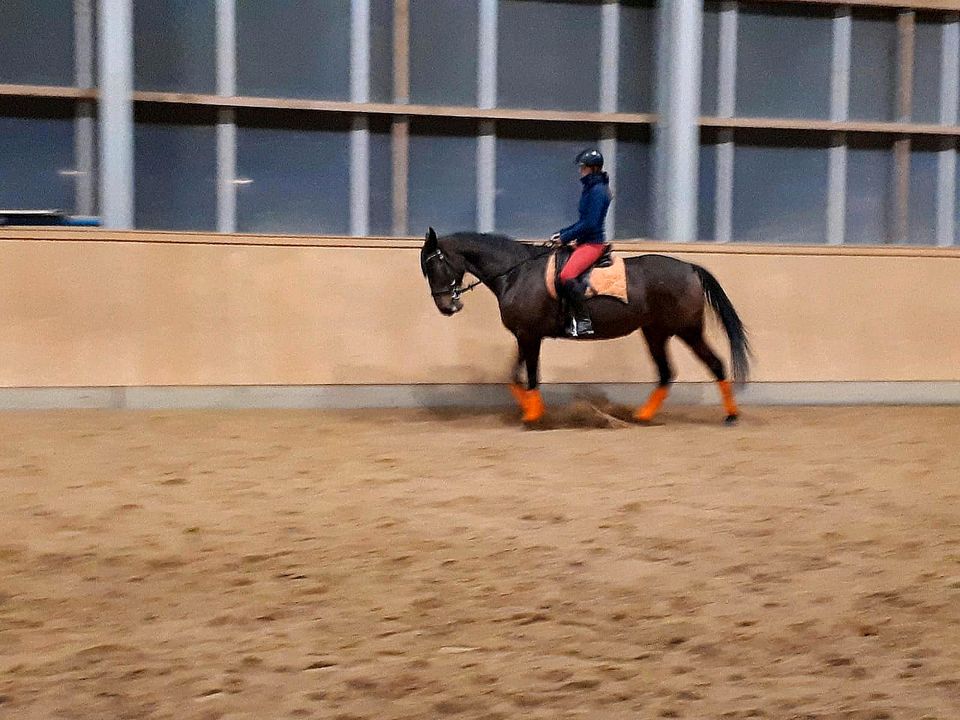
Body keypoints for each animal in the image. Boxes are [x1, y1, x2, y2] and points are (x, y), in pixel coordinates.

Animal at [420, 228, 752, 424]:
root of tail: (689, 268)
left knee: (715, 364)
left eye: (434, 264)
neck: (516, 273)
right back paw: (641, 416)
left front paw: (534, 416)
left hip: (687, 330)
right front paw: (531, 411)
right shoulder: (526, 335)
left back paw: (731, 415)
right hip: (655, 332)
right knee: (666, 372)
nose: (447, 307)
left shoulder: (530, 335)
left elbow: (526, 375)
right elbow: (516, 376)